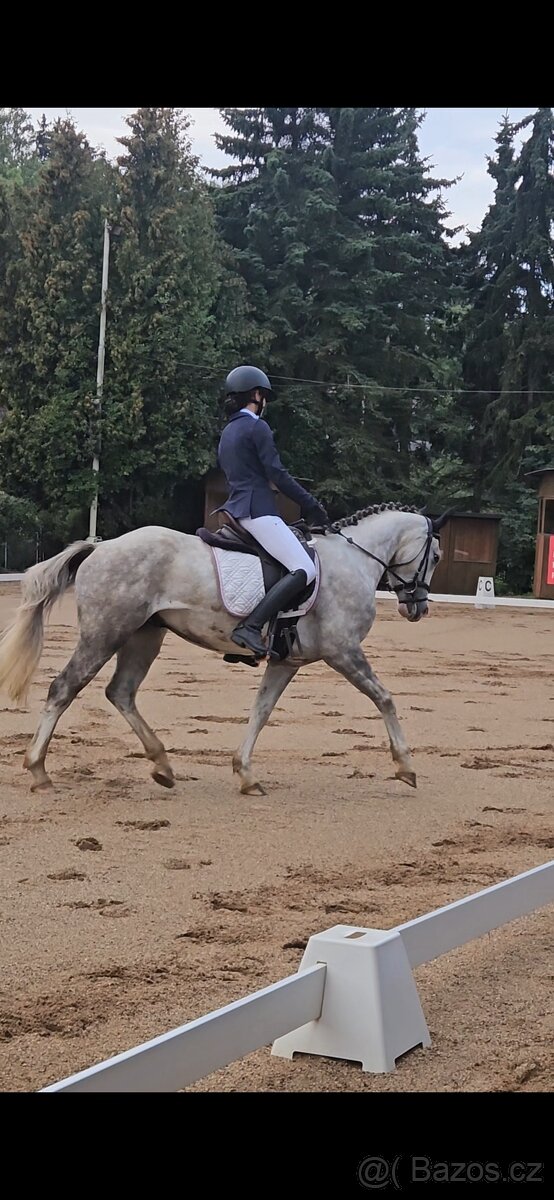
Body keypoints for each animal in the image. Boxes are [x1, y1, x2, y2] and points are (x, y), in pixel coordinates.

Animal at [0, 503, 447, 795]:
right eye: (436, 555)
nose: (418, 607)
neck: (354, 559)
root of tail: (102, 546)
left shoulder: (288, 661)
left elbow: (261, 711)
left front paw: (246, 774)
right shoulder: (343, 651)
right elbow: (384, 698)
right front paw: (405, 766)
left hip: (144, 635)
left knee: (121, 692)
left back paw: (162, 765)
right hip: (105, 633)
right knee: (64, 688)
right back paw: (38, 771)